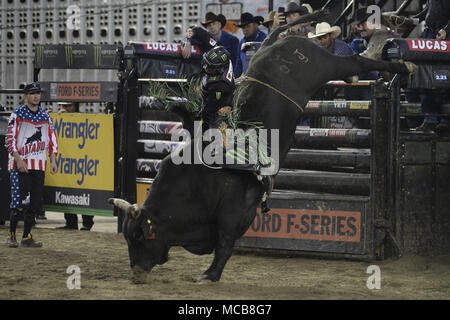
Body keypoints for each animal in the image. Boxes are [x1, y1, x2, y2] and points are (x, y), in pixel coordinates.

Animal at [109, 10, 414, 282]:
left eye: (139, 236)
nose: (136, 273)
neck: (194, 180)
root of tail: (280, 42)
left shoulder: (235, 212)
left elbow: (225, 244)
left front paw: (210, 275)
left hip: (324, 65)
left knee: (355, 60)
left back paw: (401, 62)